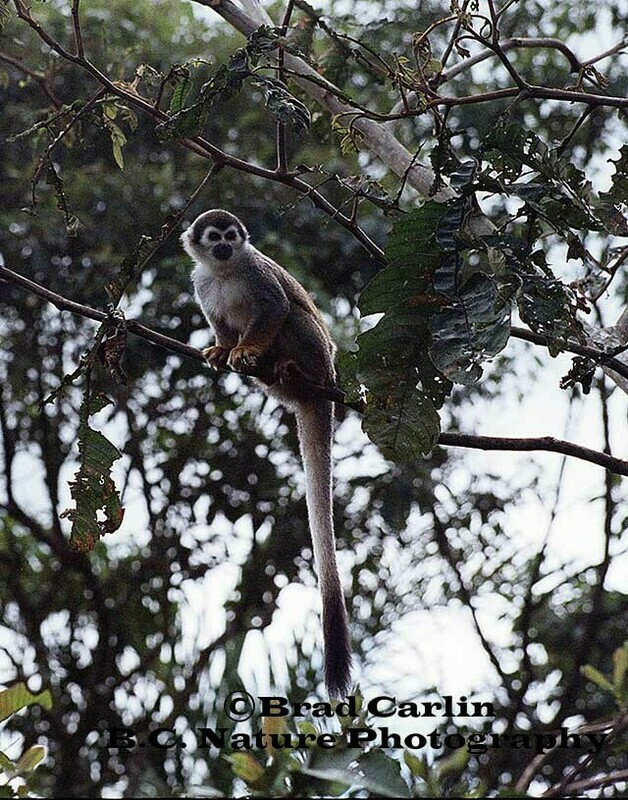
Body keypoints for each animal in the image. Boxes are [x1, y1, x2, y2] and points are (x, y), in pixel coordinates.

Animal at [180, 209, 351, 697]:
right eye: (213, 238)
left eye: (230, 237)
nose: (224, 245)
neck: (224, 271)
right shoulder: (200, 281)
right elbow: (219, 320)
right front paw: (222, 347)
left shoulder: (256, 269)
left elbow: (274, 308)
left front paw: (246, 349)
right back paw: (272, 370)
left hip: (321, 356)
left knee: (294, 315)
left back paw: (291, 368)